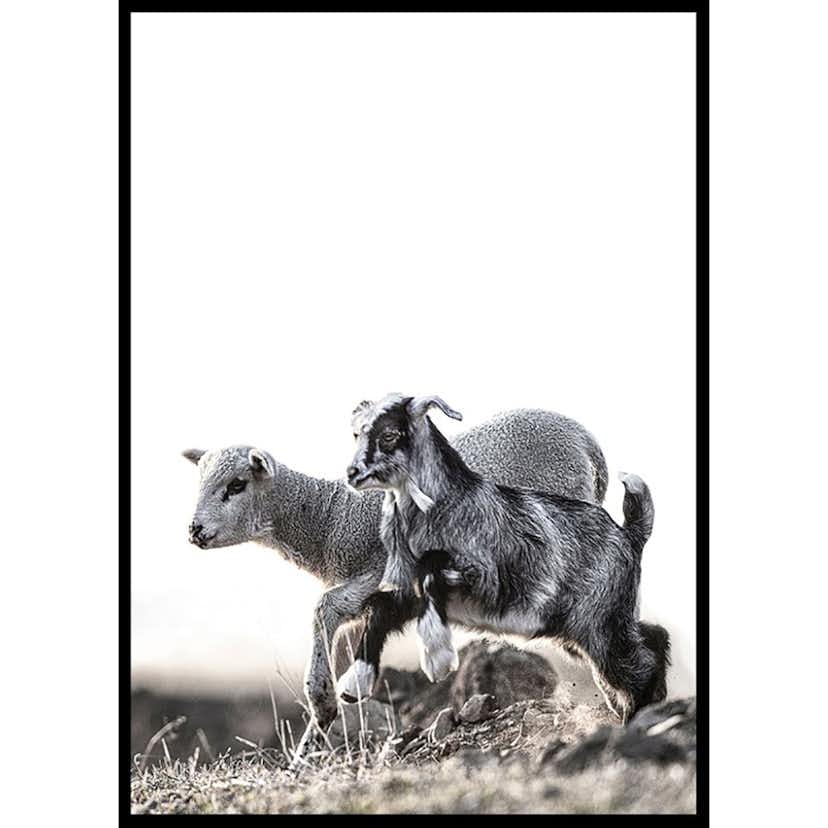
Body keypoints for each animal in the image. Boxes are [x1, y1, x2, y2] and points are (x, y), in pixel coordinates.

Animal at [182, 407, 608, 762]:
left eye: (237, 485)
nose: (194, 531)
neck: (329, 518)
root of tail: (585, 439)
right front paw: (310, 747)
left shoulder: (376, 573)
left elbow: (325, 609)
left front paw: (323, 708)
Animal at [344, 393, 670, 724]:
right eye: (357, 433)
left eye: (389, 434)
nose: (352, 474)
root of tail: (630, 534)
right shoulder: (403, 591)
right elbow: (379, 608)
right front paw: (354, 684)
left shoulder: (484, 579)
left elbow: (429, 573)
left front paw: (437, 657)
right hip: (589, 625)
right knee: (651, 637)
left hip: (600, 623)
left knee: (636, 664)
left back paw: (637, 718)